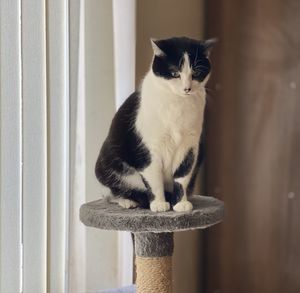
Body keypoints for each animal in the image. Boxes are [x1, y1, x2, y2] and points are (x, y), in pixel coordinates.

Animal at [95, 36, 214, 211]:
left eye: (196, 73)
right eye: (175, 73)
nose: (187, 88)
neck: (177, 104)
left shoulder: (190, 146)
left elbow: (182, 176)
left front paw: (181, 204)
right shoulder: (149, 149)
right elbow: (154, 179)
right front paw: (159, 204)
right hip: (108, 161)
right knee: (112, 191)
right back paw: (127, 201)